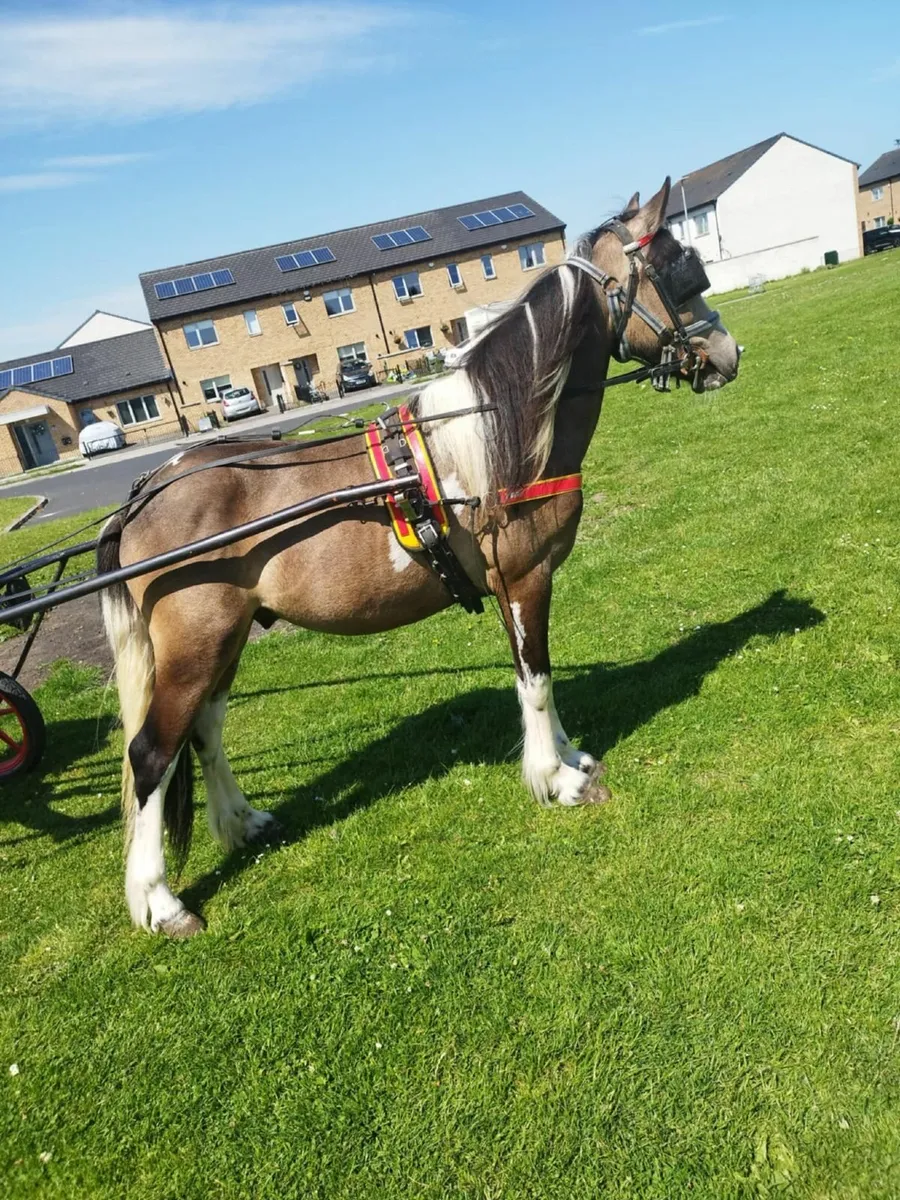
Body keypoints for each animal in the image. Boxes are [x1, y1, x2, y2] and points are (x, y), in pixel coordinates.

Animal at [99, 179, 740, 936]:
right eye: (682, 278)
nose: (729, 354)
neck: (502, 430)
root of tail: (144, 492)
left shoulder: (516, 586)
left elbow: (537, 675)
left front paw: (570, 756)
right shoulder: (524, 579)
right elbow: (537, 679)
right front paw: (556, 780)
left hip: (224, 639)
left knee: (204, 730)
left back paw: (240, 821)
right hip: (197, 644)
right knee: (151, 755)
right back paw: (160, 900)